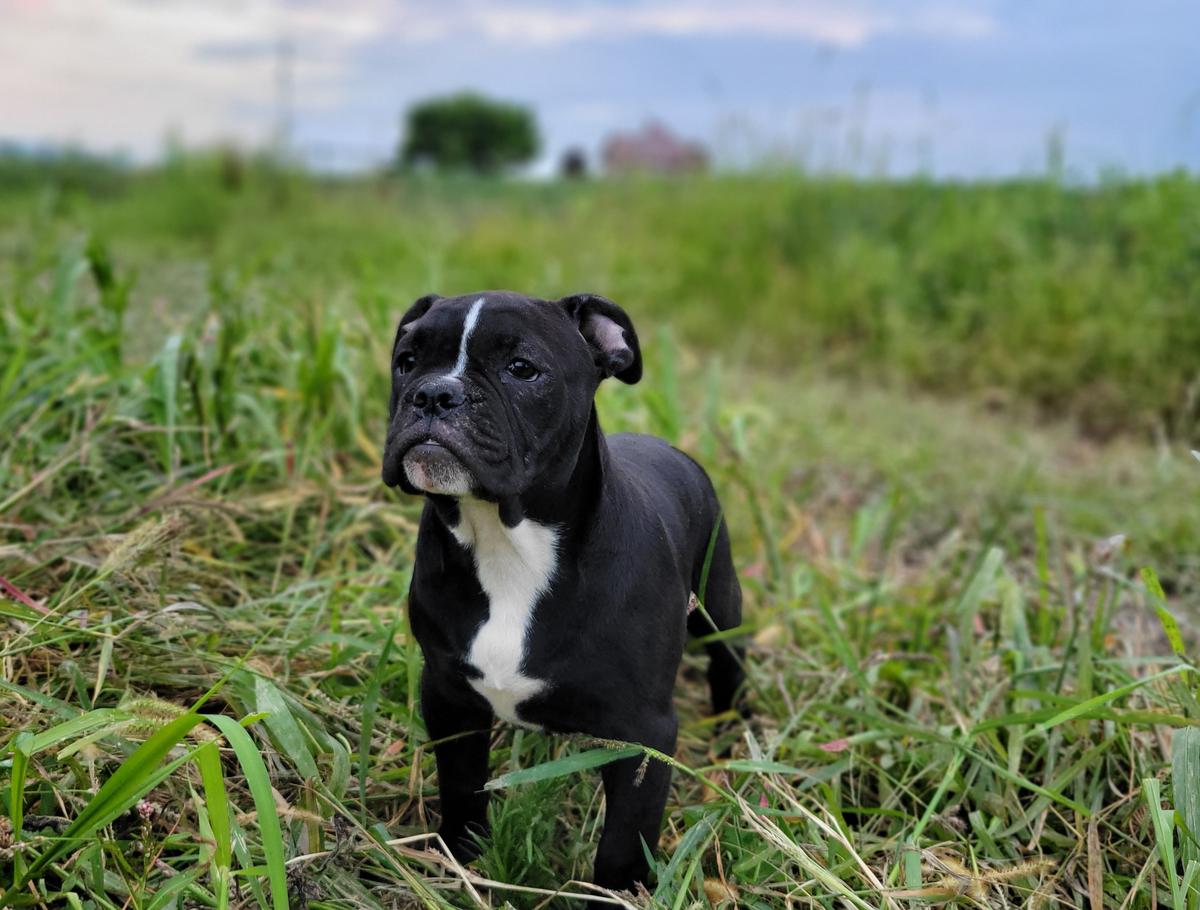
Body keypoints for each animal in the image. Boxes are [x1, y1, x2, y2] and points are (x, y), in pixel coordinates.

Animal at [381, 295, 739, 893]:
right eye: (406, 362)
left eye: (522, 369)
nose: (433, 393)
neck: (507, 541)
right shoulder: (449, 696)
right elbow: (461, 784)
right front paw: (463, 856)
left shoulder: (644, 734)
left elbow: (622, 842)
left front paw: (618, 894)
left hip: (720, 606)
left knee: (728, 664)